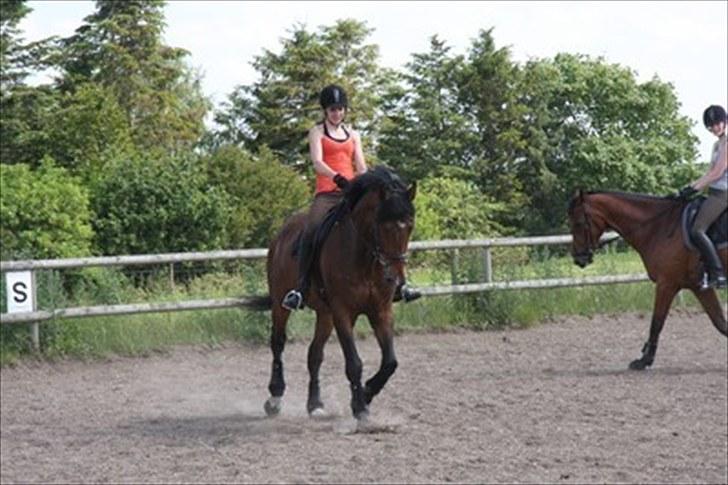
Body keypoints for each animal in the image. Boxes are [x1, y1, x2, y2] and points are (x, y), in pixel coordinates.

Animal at [264, 166, 418, 420]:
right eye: (384, 226)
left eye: (410, 226)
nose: (395, 280)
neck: (364, 259)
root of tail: (281, 233)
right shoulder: (342, 311)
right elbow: (354, 363)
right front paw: (360, 408)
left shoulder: (381, 310)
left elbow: (390, 362)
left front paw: (366, 393)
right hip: (280, 303)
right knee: (278, 343)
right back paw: (274, 399)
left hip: (324, 314)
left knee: (315, 354)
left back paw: (315, 405)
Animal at [568, 189, 728, 366]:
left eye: (579, 223)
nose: (579, 259)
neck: (658, 227)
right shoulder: (699, 287)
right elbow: (720, 322)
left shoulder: (666, 284)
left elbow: (656, 322)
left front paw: (645, 360)